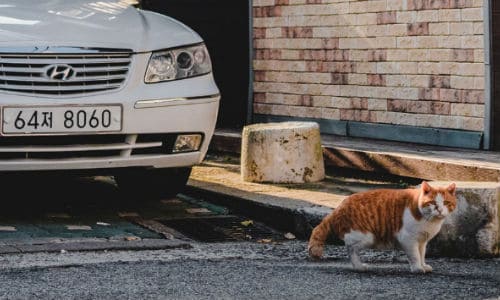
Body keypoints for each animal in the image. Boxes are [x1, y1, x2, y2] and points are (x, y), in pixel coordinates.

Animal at [306, 182, 456, 274]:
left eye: (446, 202)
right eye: (432, 203)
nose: (440, 210)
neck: (430, 221)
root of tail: (338, 207)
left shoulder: (422, 242)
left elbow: (422, 255)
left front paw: (423, 265)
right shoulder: (409, 240)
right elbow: (414, 256)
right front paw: (417, 268)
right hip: (366, 237)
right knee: (350, 249)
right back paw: (359, 267)